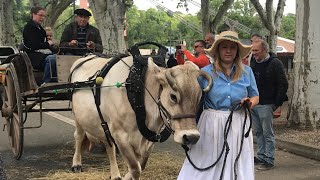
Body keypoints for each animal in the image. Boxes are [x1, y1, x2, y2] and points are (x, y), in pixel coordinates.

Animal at [71, 55, 214, 179]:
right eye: (173, 96)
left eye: (199, 97)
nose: (191, 137)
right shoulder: (120, 135)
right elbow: (135, 168)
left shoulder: (148, 139)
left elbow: (140, 165)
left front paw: (125, 176)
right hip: (78, 117)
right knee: (79, 136)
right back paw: (76, 164)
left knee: (108, 145)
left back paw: (115, 174)